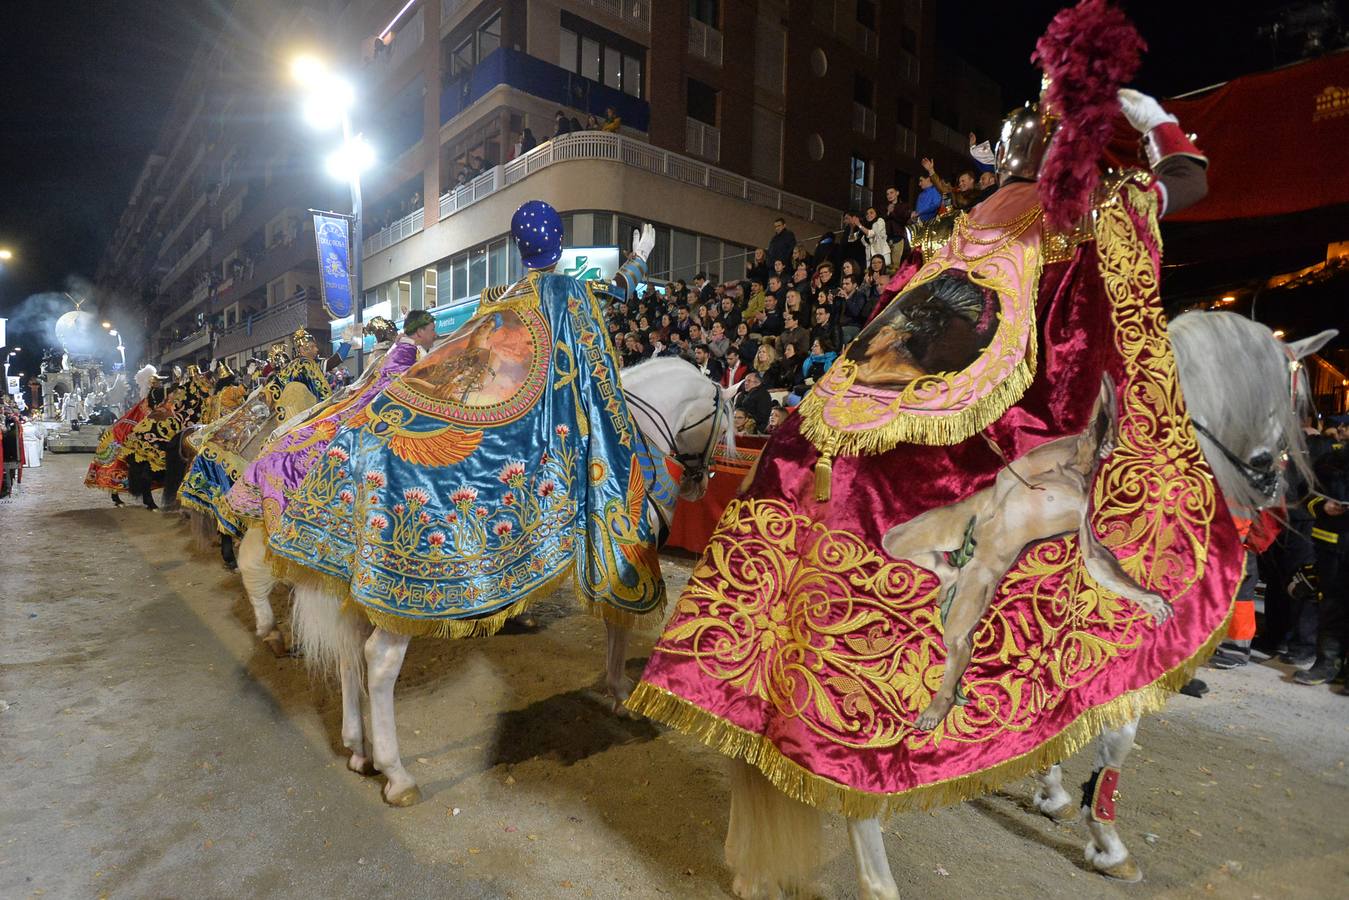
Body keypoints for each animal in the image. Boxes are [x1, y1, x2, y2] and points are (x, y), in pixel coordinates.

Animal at [290, 356, 733, 804]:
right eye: (724, 422)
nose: (701, 483)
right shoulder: (624, 564)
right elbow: (618, 628)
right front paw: (621, 693)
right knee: (379, 663)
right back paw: (396, 774)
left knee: (348, 652)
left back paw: (358, 749)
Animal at [723, 311, 1332, 900]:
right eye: (1292, 402)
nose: (1275, 493)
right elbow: (1115, 738)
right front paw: (1106, 842)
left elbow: (1059, 720)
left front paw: (1054, 792)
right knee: (852, 778)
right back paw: (879, 873)